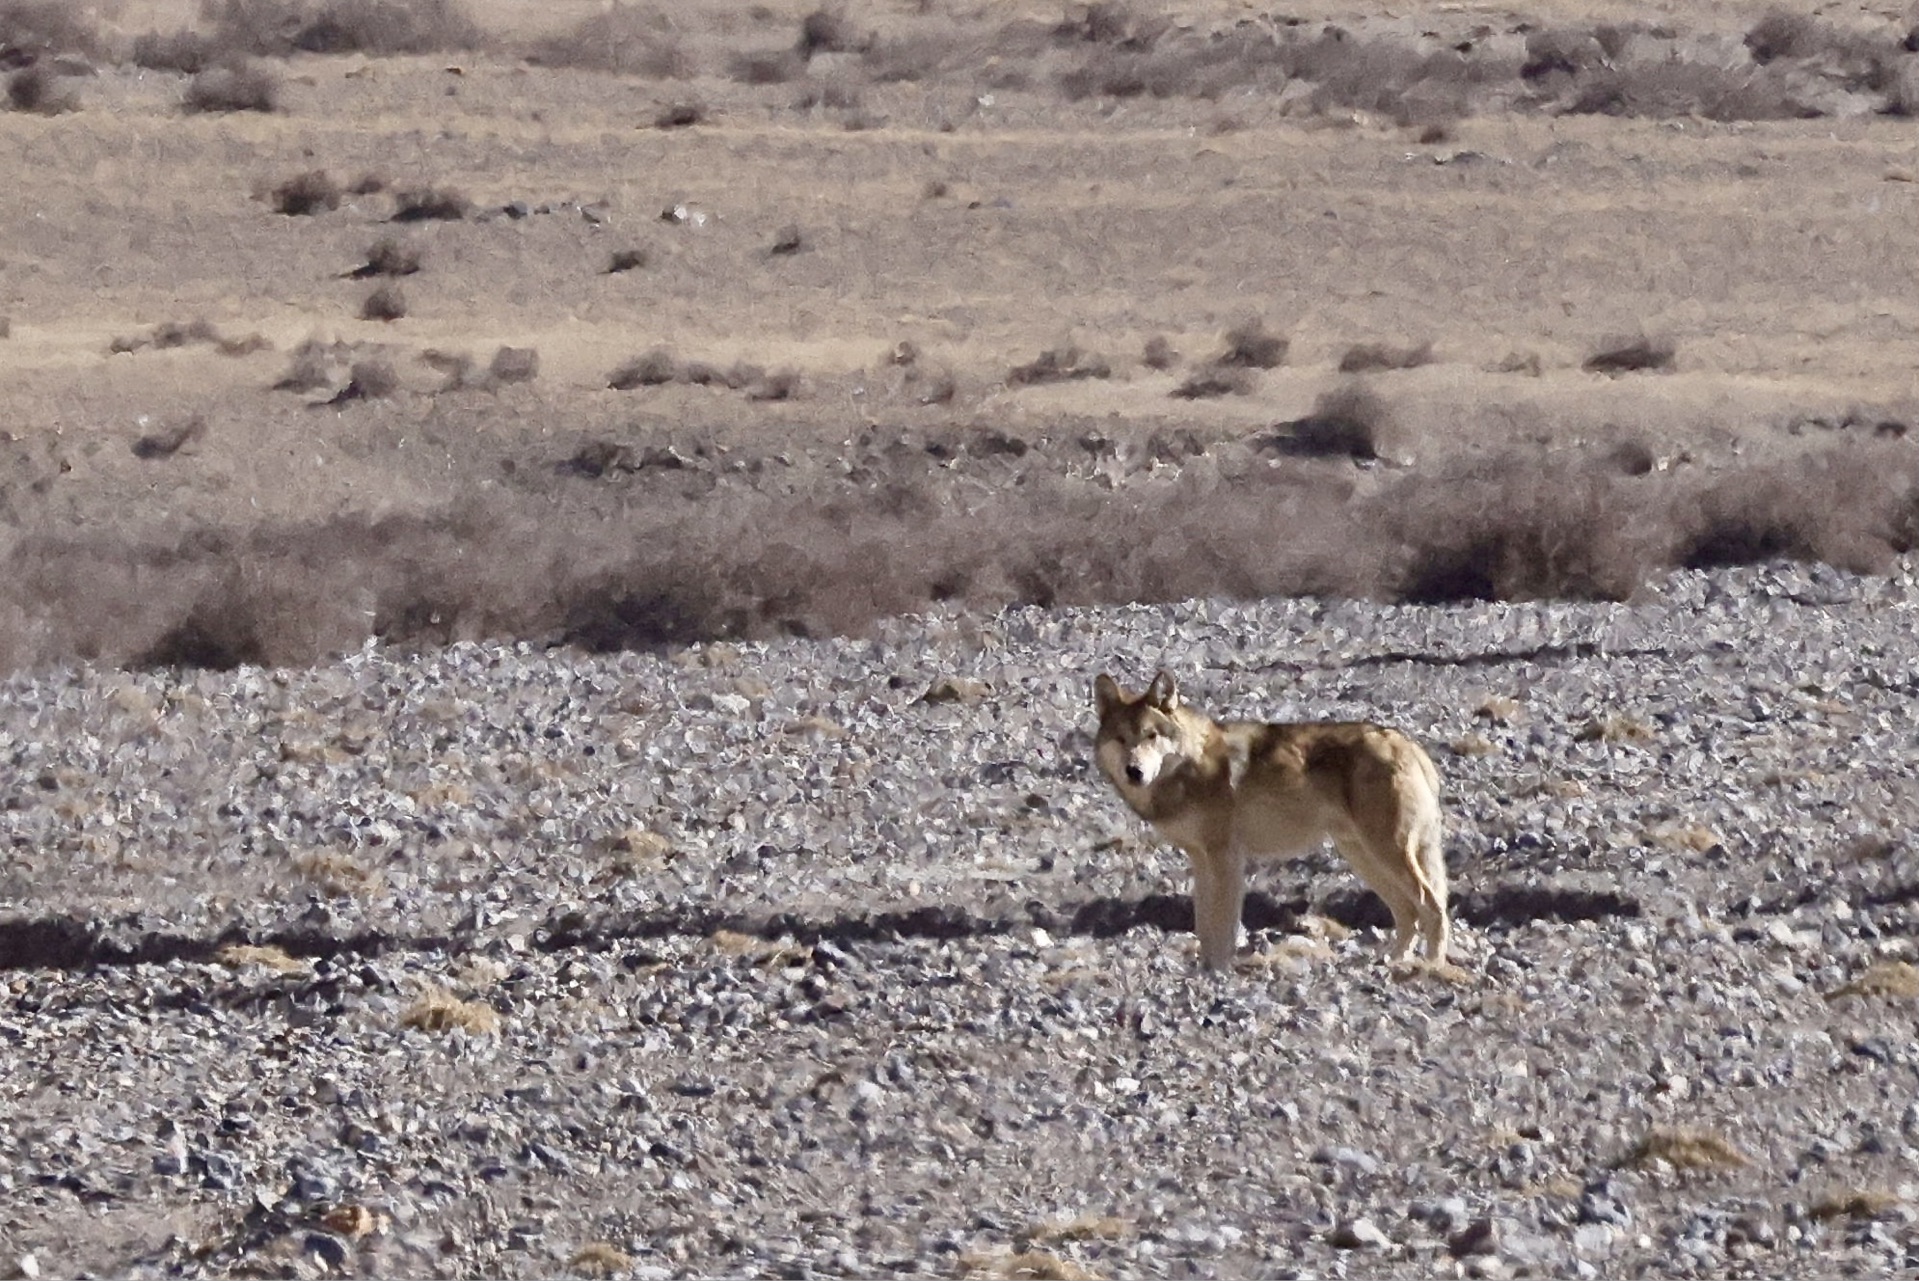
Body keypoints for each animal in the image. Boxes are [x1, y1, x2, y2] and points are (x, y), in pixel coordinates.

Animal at [1089, 671, 1443, 970]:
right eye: (1121, 739)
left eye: (1151, 736)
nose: (1134, 772)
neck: (1189, 768)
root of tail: (1409, 745)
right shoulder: (1201, 860)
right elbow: (1203, 926)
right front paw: (1203, 972)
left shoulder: (1226, 859)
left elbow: (1222, 927)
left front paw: (1219, 973)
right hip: (1364, 858)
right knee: (1409, 910)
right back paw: (1393, 960)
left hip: (1385, 853)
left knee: (1432, 904)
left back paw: (1431, 966)